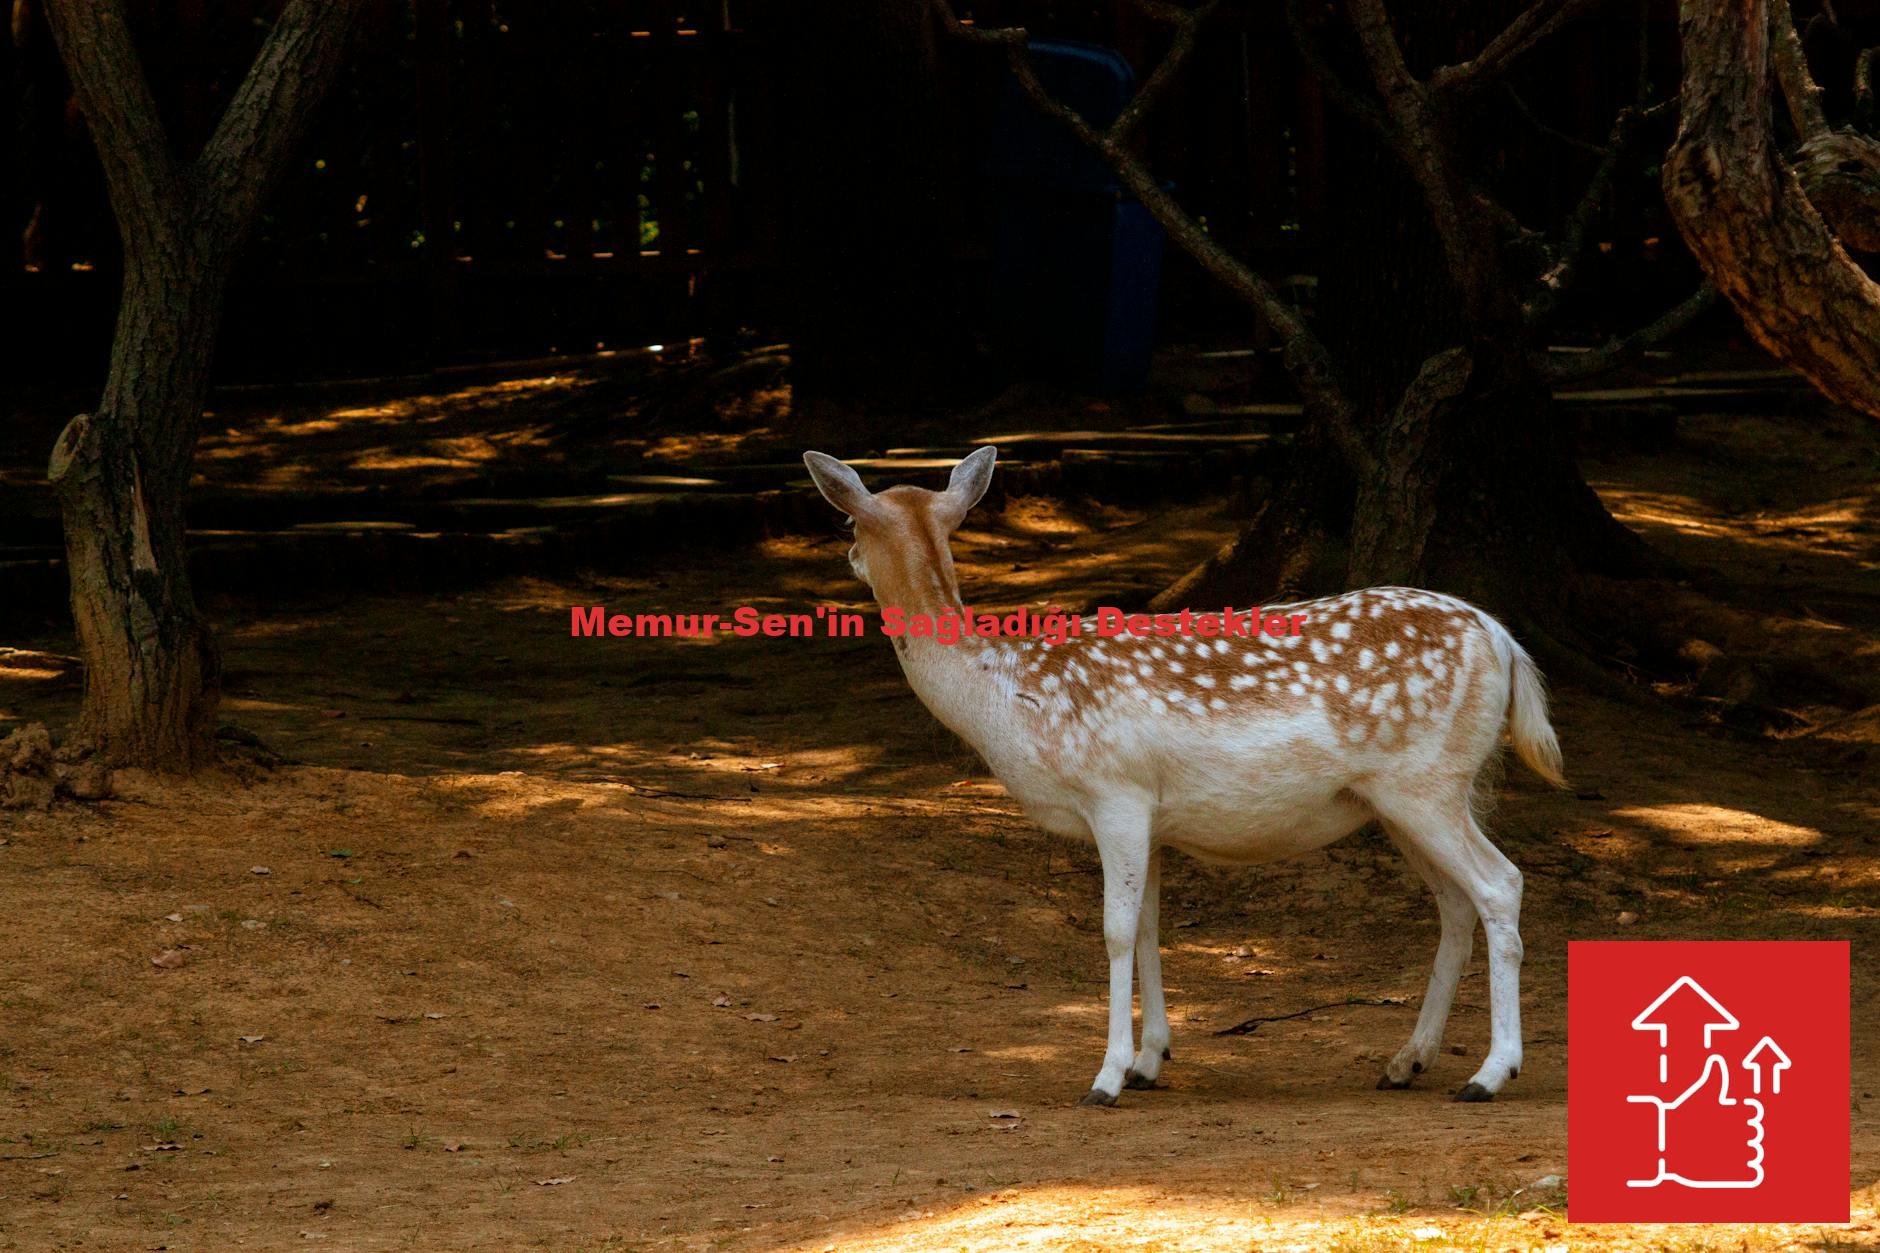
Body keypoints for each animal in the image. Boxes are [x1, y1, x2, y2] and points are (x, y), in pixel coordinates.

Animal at [800, 445, 1564, 1106]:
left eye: (849, 518)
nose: (847, 554)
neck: (1009, 698)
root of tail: (1504, 641)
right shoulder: (1153, 821)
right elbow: (1147, 927)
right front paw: (1149, 1061)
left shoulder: (1116, 793)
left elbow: (1114, 930)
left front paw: (1106, 1077)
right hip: (1406, 797)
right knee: (1456, 902)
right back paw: (1407, 1061)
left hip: (1427, 782)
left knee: (1500, 883)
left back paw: (1491, 1072)